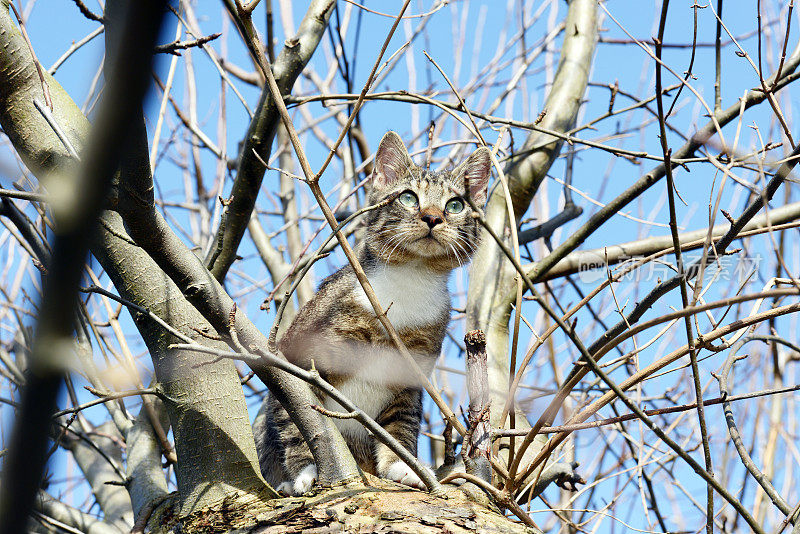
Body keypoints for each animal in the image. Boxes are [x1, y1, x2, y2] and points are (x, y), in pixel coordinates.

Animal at [253, 132, 490, 496]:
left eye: (455, 205)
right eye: (408, 197)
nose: (433, 217)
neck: (410, 281)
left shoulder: (409, 379)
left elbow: (401, 426)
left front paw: (404, 467)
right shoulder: (296, 359)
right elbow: (296, 419)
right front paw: (305, 471)